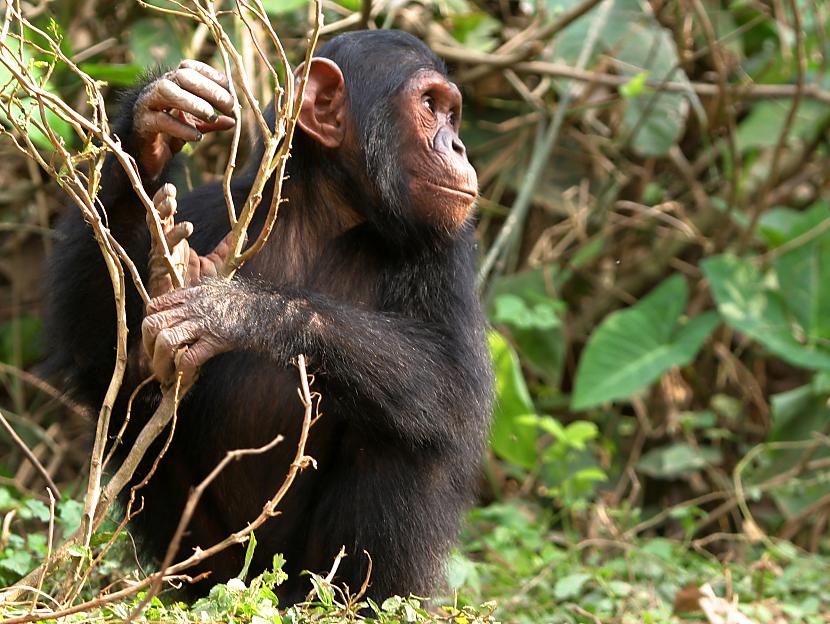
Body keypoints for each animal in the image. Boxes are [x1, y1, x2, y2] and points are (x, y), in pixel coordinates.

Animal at [45, 30, 490, 604]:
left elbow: (454, 379)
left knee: (407, 431)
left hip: (304, 575)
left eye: (452, 113)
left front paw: (233, 310)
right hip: (216, 564)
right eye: (431, 107)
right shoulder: (215, 209)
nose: (458, 146)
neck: (326, 214)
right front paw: (151, 120)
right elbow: (100, 364)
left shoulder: (447, 251)